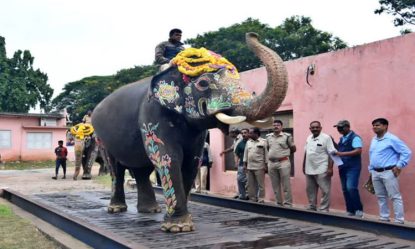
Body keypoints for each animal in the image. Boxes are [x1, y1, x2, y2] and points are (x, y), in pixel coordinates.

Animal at [91, 32, 288, 232]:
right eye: (203, 83)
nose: (252, 35)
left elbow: (192, 160)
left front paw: (183, 222)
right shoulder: (151, 116)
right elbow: (168, 157)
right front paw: (178, 228)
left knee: (141, 170)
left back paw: (150, 210)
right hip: (100, 137)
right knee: (115, 169)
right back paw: (117, 209)